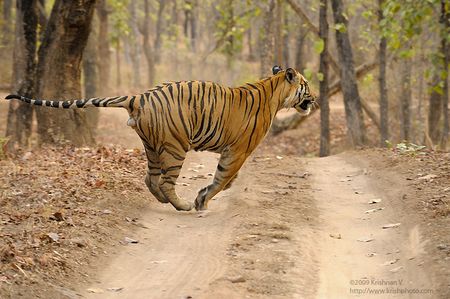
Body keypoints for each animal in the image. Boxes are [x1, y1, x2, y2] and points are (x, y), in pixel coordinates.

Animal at [6, 66, 316, 211]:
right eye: (306, 85)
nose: (314, 99)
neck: (273, 90)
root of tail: (139, 96)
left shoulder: (234, 151)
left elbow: (227, 179)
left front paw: (207, 195)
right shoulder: (239, 150)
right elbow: (222, 178)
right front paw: (202, 200)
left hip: (153, 146)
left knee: (150, 179)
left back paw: (166, 201)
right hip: (176, 146)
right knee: (165, 181)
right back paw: (182, 204)